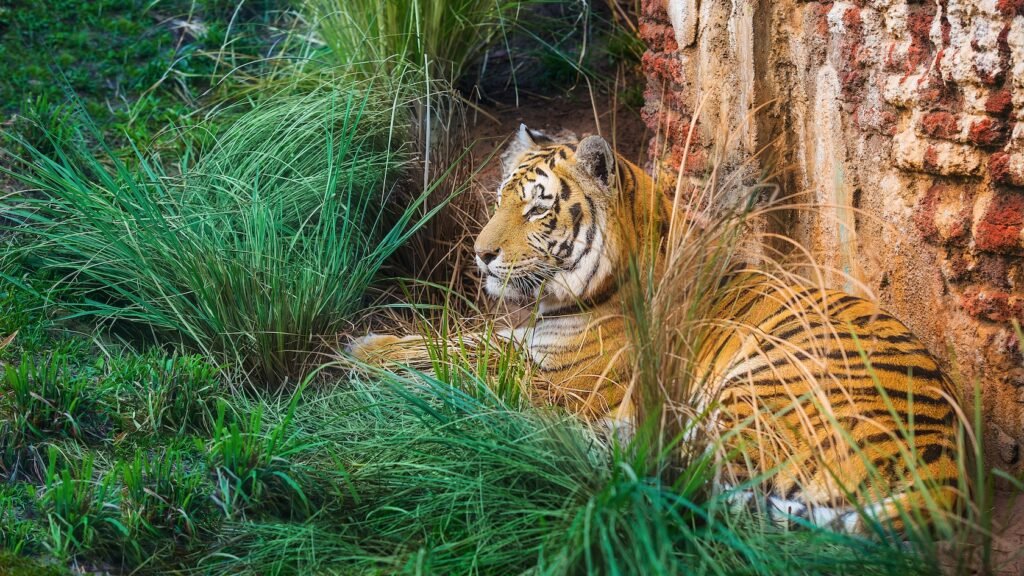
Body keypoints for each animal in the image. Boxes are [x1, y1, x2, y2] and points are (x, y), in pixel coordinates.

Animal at [349, 124, 964, 535]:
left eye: (538, 210)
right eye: (501, 200)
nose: (481, 256)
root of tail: (943, 466)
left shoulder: (563, 378)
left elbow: (465, 361)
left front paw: (385, 369)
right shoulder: (525, 342)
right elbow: (454, 341)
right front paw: (371, 346)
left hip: (748, 387)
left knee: (661, 465)